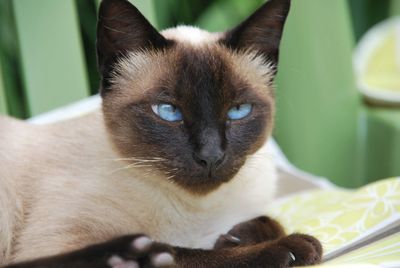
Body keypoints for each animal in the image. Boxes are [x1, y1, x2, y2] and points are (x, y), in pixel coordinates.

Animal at [0, 0, 322, 266]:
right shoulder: (60, 239)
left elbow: (269, 220)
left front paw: (236, 236)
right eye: (168, 111)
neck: (198, 212)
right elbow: (190, 254)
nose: (211, 156)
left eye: (238, 111)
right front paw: (292, 248)